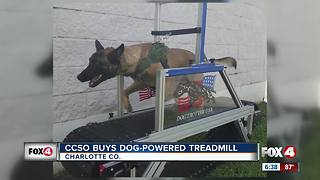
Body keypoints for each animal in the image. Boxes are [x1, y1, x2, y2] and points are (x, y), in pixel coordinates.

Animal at [77, 40, 236, 112]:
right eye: (90, 61)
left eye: (97, 64)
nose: (79, 77)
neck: (137, 58)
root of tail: (198, 58)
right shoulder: (141, 83)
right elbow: (124, 91)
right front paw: (127, 105)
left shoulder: (166, 83)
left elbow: (163, 98)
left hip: (193, 84)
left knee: (200, 97)